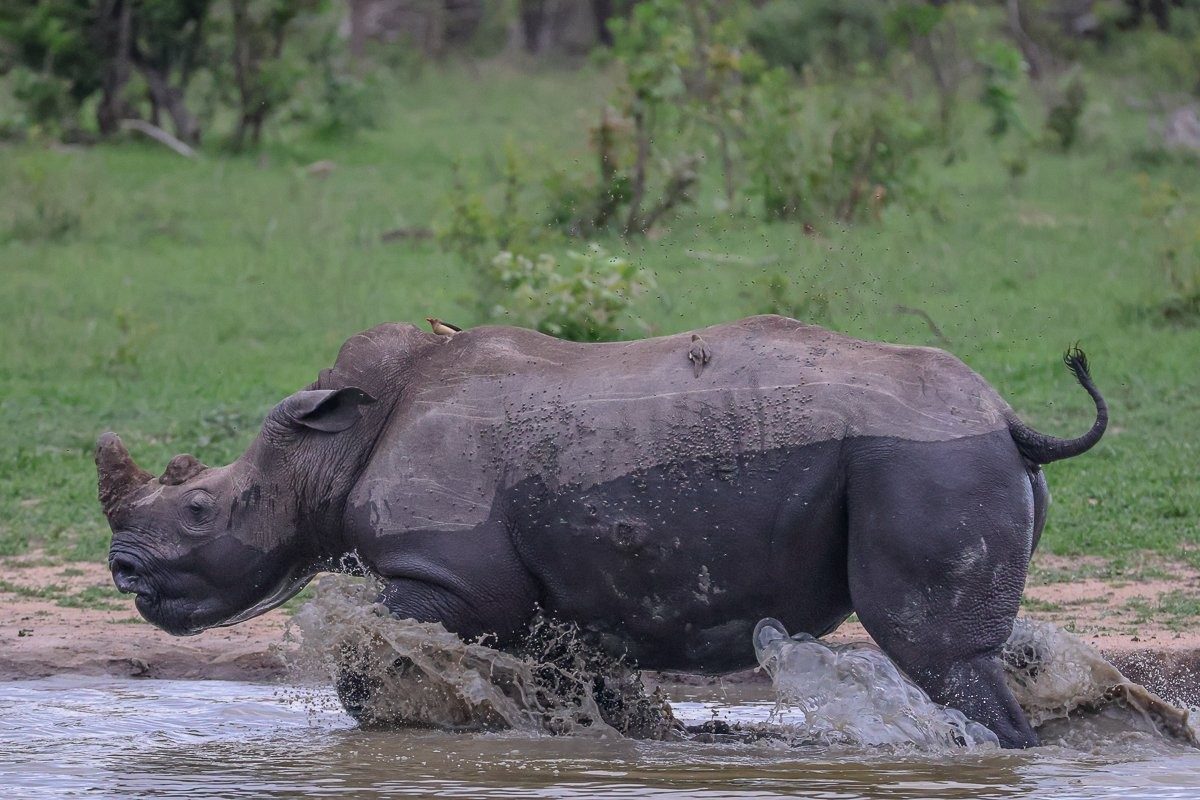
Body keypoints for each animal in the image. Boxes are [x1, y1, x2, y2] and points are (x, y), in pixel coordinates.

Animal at [96, 316, 1107, 748]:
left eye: (200, 509)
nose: (122, 571)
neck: (333, 443)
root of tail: (1009, 416)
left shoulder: (450, 578)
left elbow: (368, 648)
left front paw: (415, 716)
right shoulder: (554, 593)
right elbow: (577, 672)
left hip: (925, 461)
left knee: (935, 652)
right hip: (943, 458)